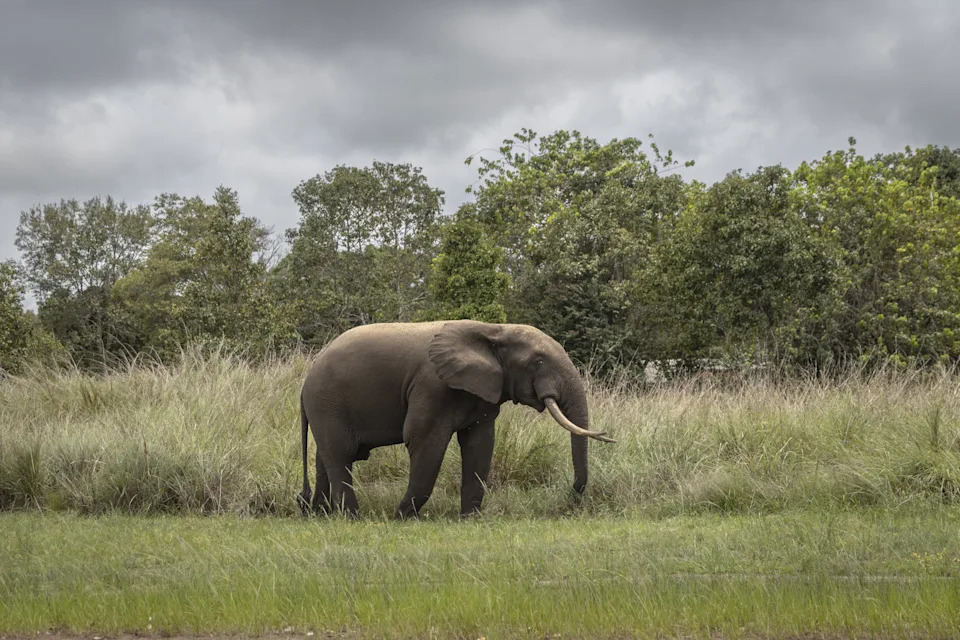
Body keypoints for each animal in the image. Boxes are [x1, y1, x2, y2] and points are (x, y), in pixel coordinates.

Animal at [297, 320, 615, 519]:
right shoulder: (432, 385)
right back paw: (352, 517)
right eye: (538, 361)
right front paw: (402, 517)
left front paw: (470, 519)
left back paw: (322, 515)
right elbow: (425, 441)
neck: (493, 331)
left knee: (325, 458)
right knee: (340, 455)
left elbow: (480, 445)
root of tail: (305, 382)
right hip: (327, 403)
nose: (571, 498)